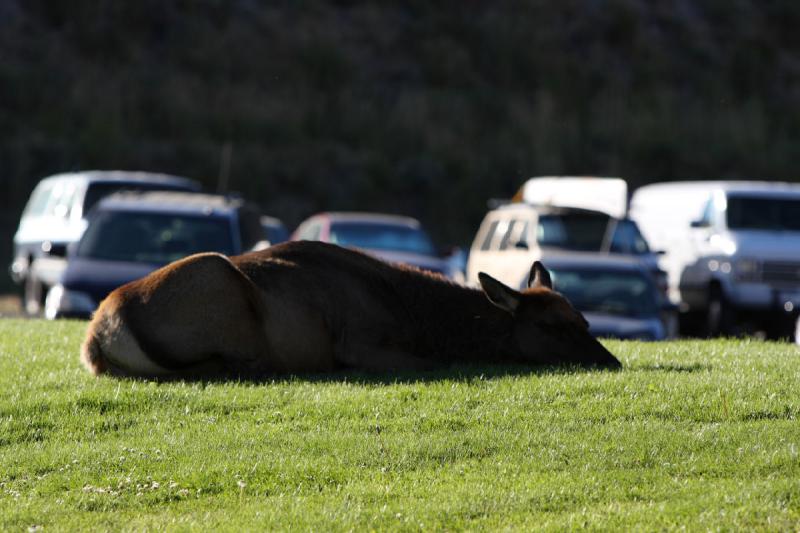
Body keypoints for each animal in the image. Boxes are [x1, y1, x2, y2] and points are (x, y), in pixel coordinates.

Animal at [79, 239, 620, 376]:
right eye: (551, 327)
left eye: (584, 320)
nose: (611, 361)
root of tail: (95, 339)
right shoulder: (361, 343)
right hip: (217, 281)